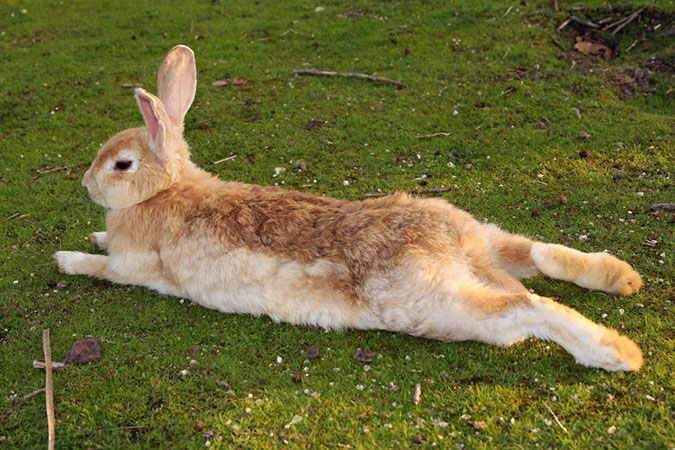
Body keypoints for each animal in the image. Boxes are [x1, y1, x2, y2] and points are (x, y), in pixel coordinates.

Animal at [54, 45, 644, 372]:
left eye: (121, 165)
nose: (85, 184)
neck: (166, 189)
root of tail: (455, 249)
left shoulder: (134, 267)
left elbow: (103, 267)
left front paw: (67, 257)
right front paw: (92, 235)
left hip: (435, 305)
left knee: (530, 308)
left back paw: (618, 354)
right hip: (482, 236)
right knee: (539, 255)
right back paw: (624, 280)